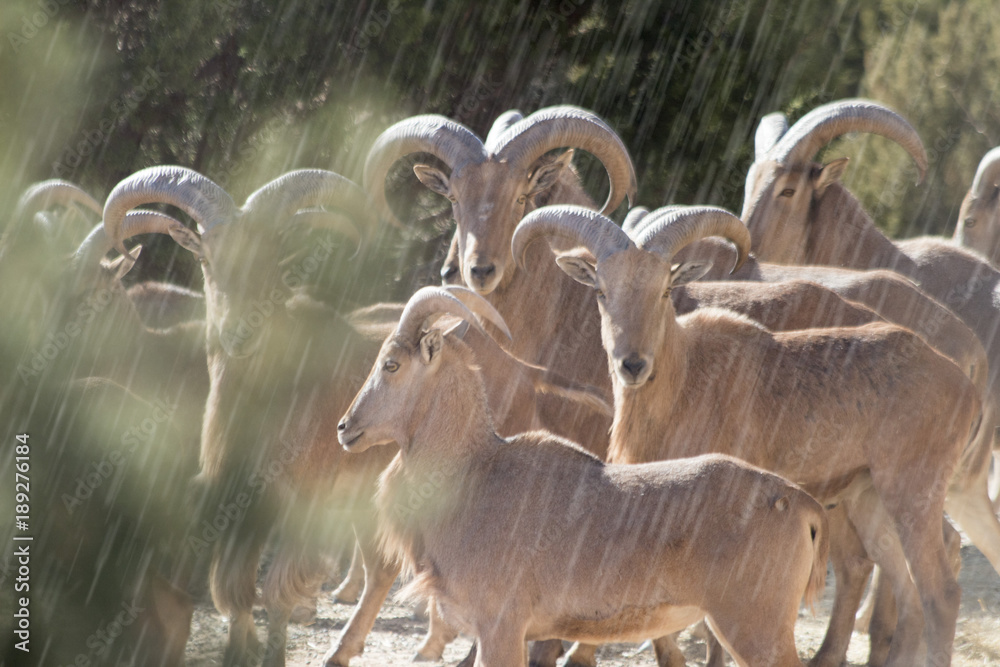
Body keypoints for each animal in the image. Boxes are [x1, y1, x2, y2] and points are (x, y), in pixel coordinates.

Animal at [337, 285, 830, 667]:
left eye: (392, 364)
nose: (346, 427)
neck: (472, 475)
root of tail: (801, 504)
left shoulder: (500, 628)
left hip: (755, 629)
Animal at [514, 204, 983, 667]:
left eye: (664, 289)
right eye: (601, 291)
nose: (632, 364)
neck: (685, 381)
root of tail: (964, 381)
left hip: (911, 490)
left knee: (939, 591)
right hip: (868, 498)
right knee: (903, 584)